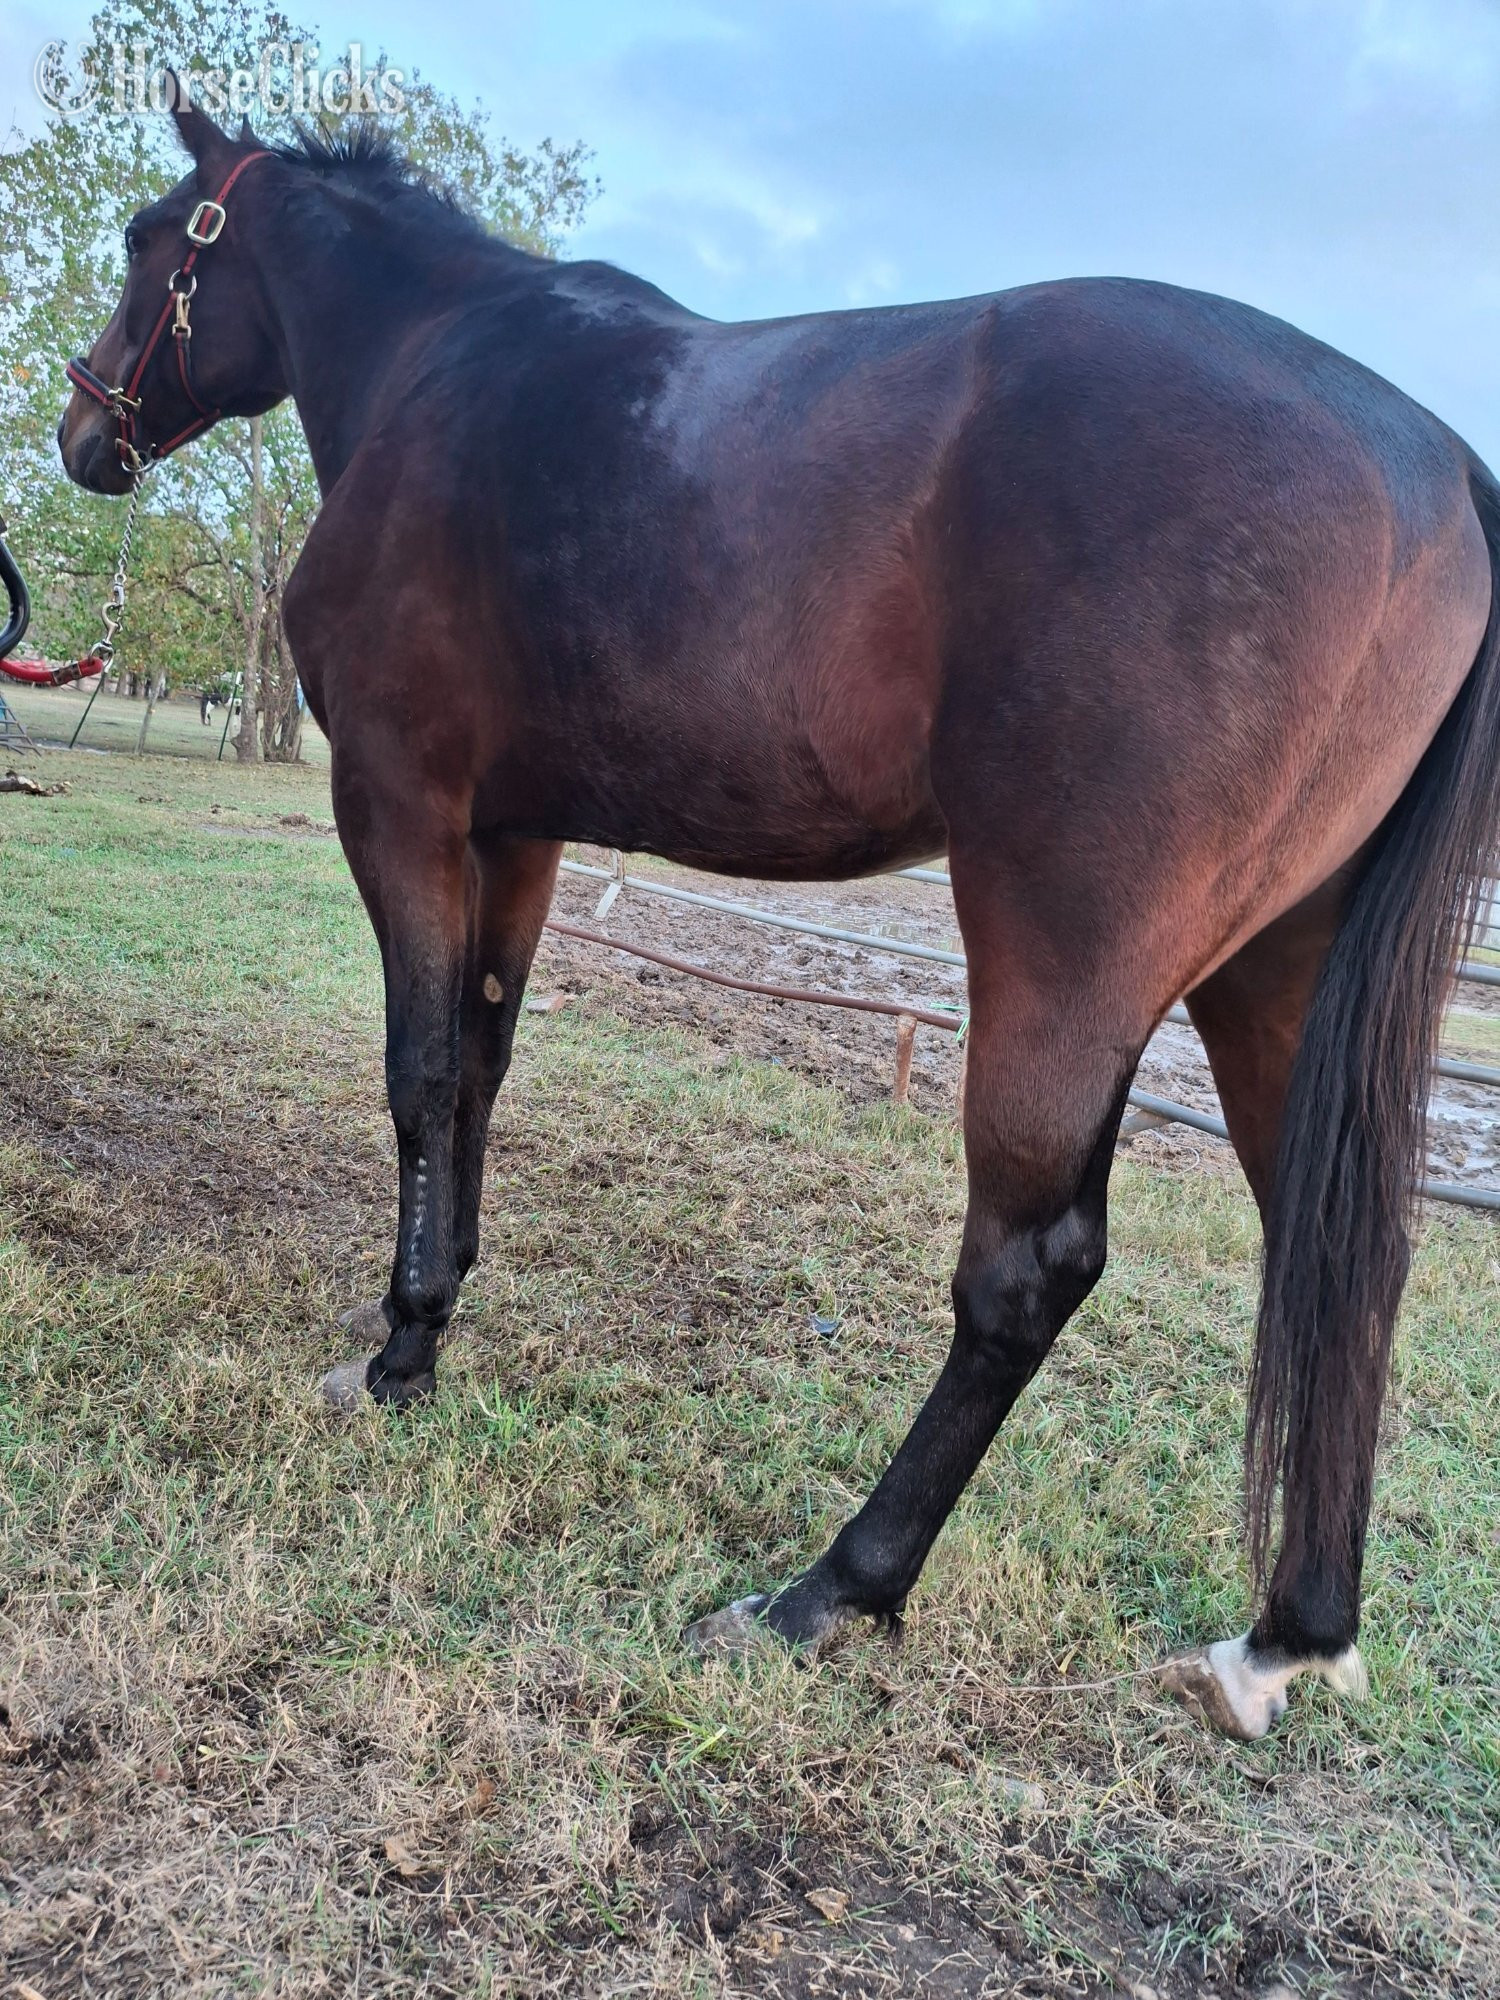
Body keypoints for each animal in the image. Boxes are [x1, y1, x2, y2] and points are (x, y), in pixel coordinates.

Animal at [59, 94, 1500, 1744]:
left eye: (147, 241)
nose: (84, 431)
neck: (445, 359)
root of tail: (1442, 466)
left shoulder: (402, 803)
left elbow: (419, 1073)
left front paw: (401, 1346)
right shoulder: (516, 833)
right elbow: (482, 1068)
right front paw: (448, 1301)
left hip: (1071, 957)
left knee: (1028, 1269)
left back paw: (829, 1592)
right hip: (1276, 973)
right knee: (1342, 1257)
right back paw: (1292, 1635)